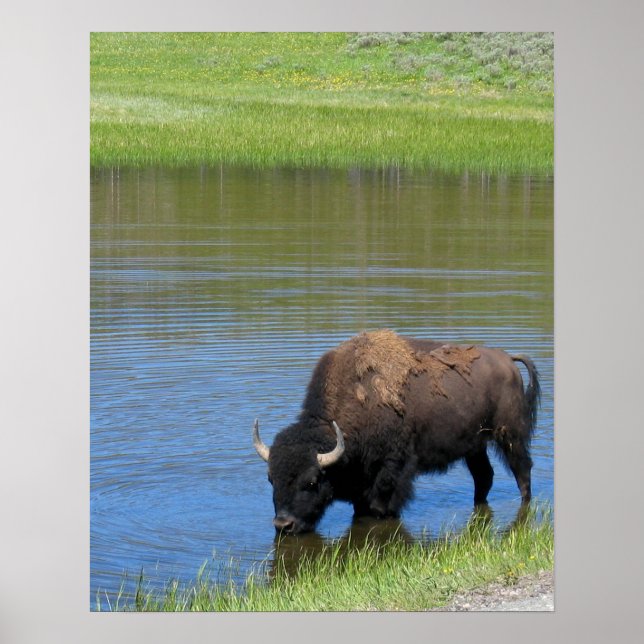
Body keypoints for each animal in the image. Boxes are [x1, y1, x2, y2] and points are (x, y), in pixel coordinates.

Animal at [253, 330, 541, 534]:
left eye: (312, 481)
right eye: (270, 479)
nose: (283, 525)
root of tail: (508, 359)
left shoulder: (392, 470)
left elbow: (382, 505)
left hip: (510, 436)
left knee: (522, 470)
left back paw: (526, 502)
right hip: (475, 446)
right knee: (484, 477)